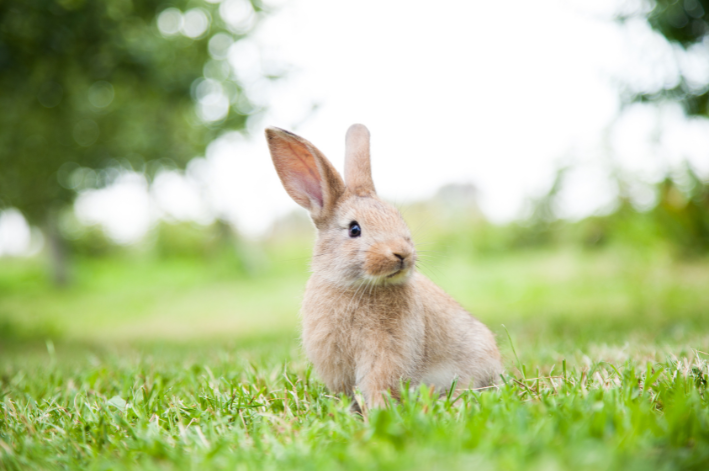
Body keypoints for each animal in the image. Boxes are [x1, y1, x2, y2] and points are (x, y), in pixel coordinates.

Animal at [266, 124, 504, 410]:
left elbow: (379, 385)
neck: (356, 286)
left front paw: (379, 412)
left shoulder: (386, 354)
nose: (402, 253)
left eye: (397, 218)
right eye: (354, 229)